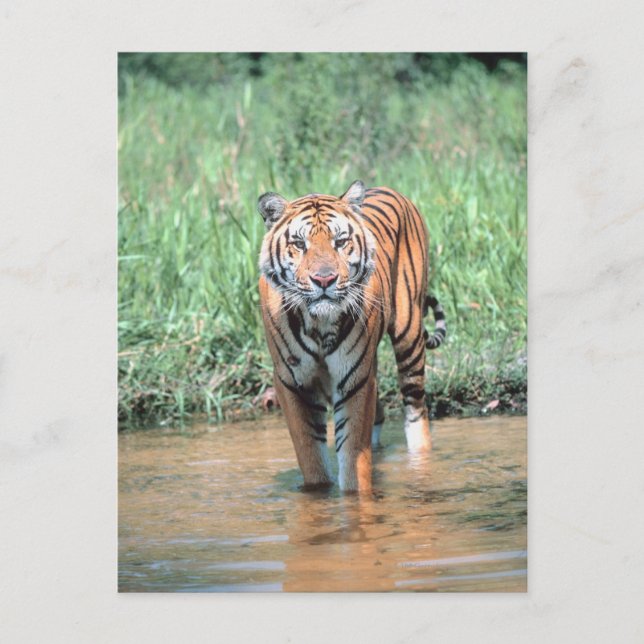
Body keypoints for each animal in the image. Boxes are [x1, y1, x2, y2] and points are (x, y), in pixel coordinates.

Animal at [257, 180, 446, 493]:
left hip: (409, 335)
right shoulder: (292, 383)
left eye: (340, 241)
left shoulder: (355, 381)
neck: (318, 323)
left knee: (416, 409)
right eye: (299, 244)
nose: (324, 280)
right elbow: (311, 457)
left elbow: (353, 459)